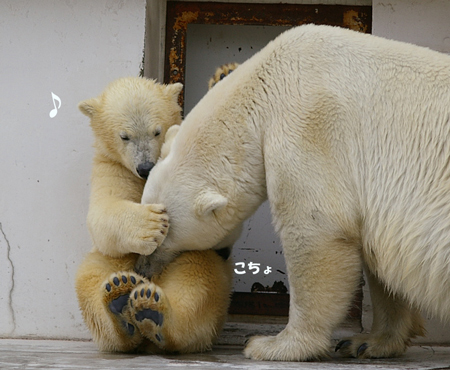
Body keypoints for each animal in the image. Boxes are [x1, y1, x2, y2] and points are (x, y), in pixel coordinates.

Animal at [141, 24, 450, 360]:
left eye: (164, 235)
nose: (143, 268)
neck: (266, 85)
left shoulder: (309, 128)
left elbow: (317, 231)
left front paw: (272, 345)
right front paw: (369, 342)